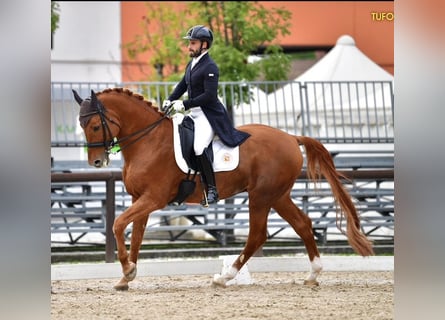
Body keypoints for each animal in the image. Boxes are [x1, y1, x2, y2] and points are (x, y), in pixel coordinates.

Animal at [73, 87, 372, 290]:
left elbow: (117, 224)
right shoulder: (140, 198)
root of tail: (290, 136)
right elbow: (135, 235)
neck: (149, 140)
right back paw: (313, 274)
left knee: (257, 235)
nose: (96, 162)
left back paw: (224, 277)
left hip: (261, 196)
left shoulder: (153, 198)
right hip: (278, 195)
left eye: (96, 125)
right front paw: (127, 276)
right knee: (302, 224)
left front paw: (126, 269)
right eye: (81, 125)